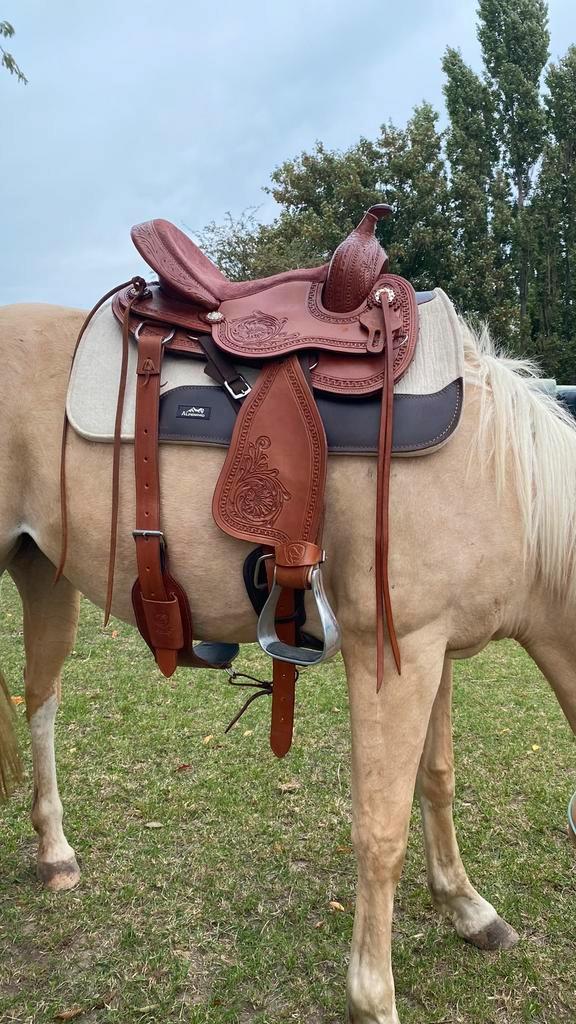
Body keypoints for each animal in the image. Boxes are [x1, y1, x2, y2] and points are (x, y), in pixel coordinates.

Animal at [0, 301, 574, 1024]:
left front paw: (467, 908)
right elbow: (380, 830)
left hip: (42, 575)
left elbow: (437, 779)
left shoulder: (435, 649)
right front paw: (373, 998)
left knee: (39, 699)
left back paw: (55, 853)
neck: (501, 481)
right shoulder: (395, 655)